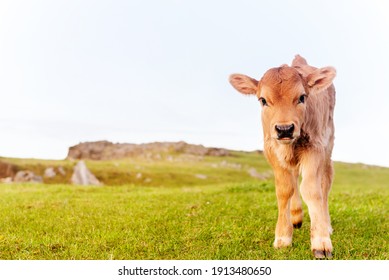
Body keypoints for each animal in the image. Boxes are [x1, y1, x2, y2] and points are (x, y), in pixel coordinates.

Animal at [229, 54, 334, 258]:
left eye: (302, 97)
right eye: (263, 100)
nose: (284, 129)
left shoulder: (315, 148)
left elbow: (311, 189)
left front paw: (321, 242)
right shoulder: (271, 149)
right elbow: (285, 190)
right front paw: (283, 237)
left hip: (328, 145)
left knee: (325, 183)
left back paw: (326, 224)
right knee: (294, 179)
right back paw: (296, 215)